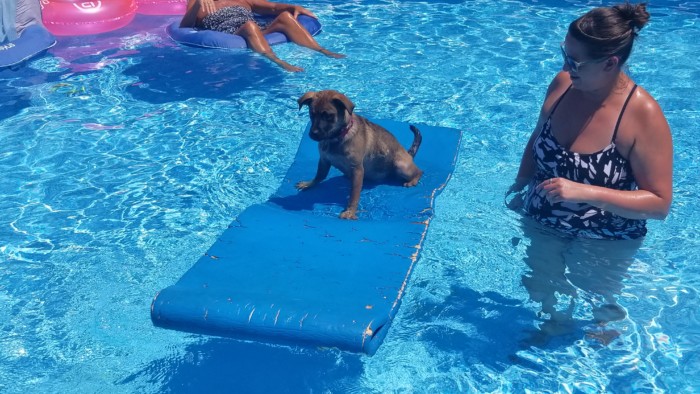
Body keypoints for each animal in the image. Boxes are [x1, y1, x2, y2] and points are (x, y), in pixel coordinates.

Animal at [294, 89, 422, 220]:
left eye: (329, 116)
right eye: (312, 114)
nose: (313, 134)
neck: (336, 137)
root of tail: (408, 154)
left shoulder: (357, 169)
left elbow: (354, 195)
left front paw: (350, 211)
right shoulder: (324, 160)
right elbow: (319, 176)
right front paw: (309, 183)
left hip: (400, 165)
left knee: (419, 171)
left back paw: (413, 180)